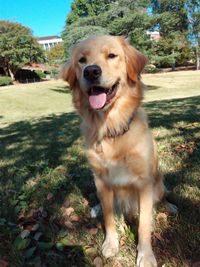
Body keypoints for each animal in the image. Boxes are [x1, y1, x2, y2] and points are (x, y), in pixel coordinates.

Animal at [62, 35, 164, 267]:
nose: (91, 71)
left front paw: (145, 255)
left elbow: (144, 224)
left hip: (158, 185)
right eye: (82, 60)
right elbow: (108, 217)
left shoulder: (144, 183)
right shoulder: (101, 180)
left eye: (111, 55)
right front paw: (110, 243)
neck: (111, 128)